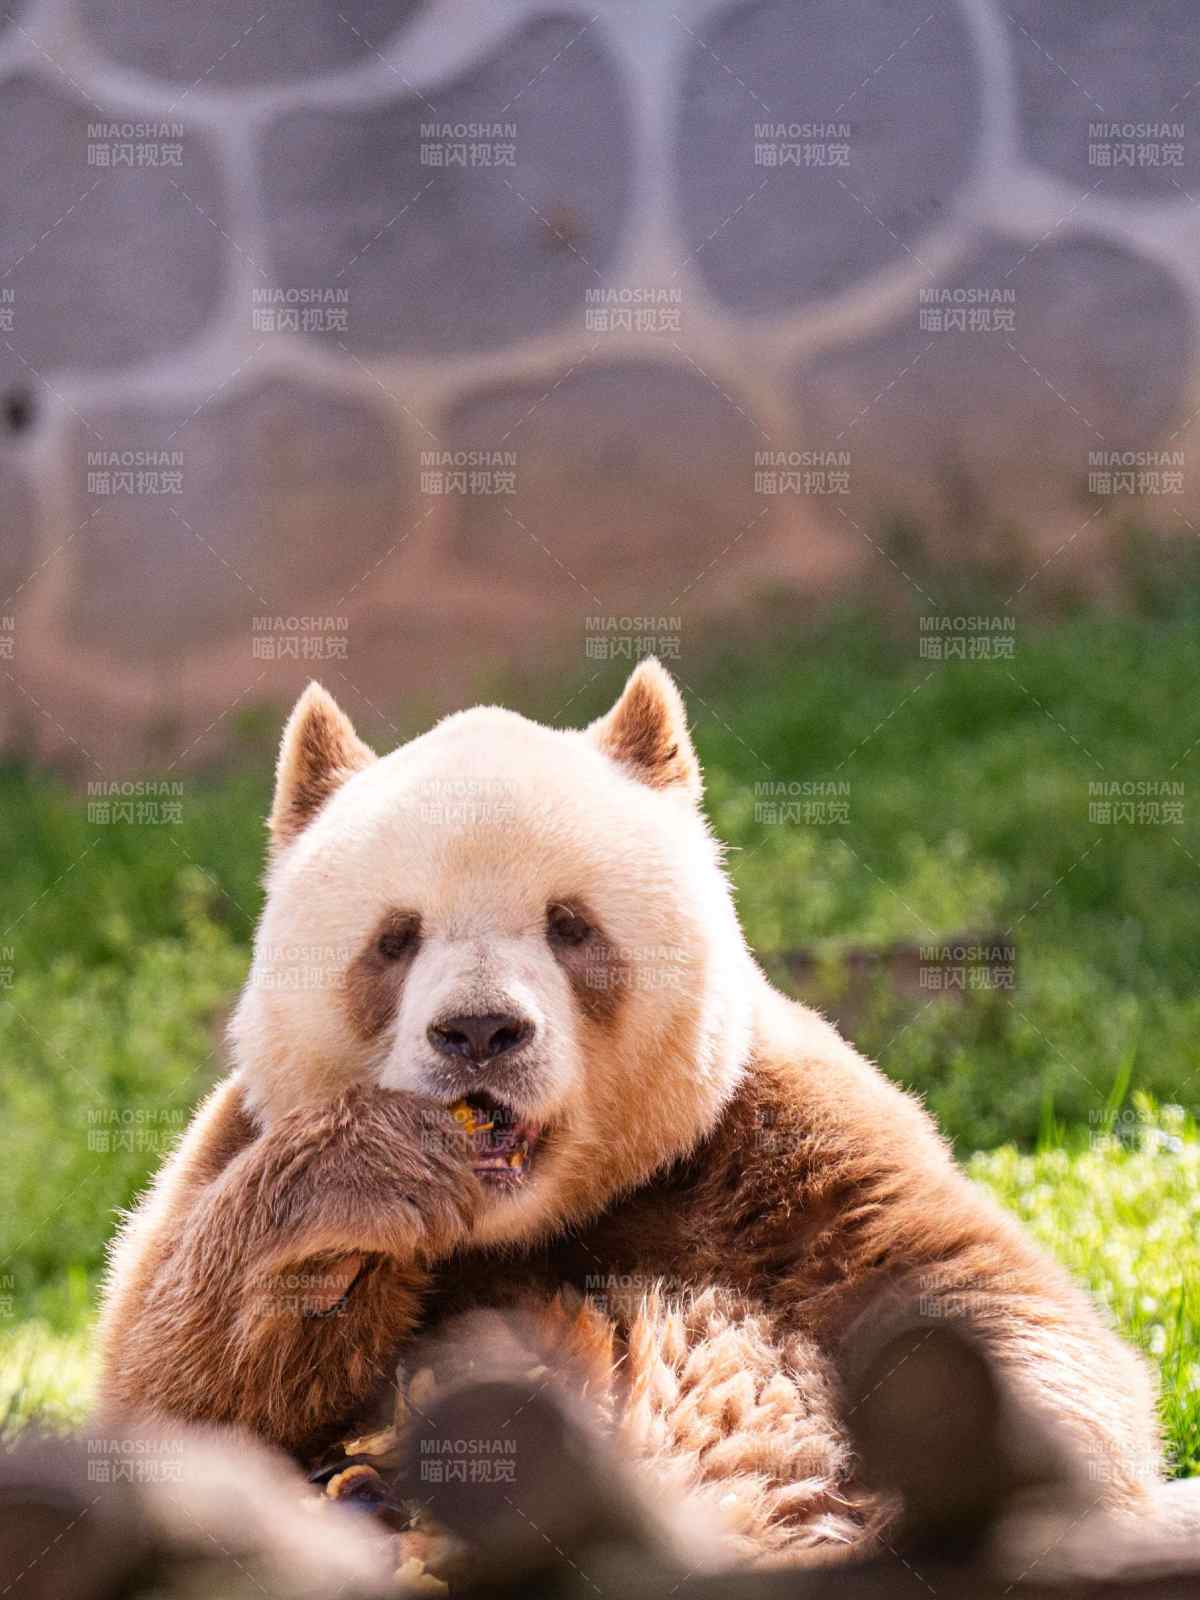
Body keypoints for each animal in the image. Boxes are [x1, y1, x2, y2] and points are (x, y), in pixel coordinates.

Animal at [96, 660, 1167, 1566]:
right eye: (395, 939)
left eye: (569, 926)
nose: (479, 1032)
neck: (523, 1223)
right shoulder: (240, 1142)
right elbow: (168, 1391)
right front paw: (372, 1182)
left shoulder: (775, 1140)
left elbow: (975, 1296)